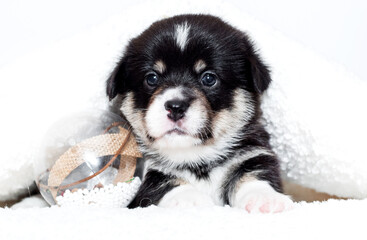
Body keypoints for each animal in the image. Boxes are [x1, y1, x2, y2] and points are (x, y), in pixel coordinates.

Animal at [106, 14, 294, 213]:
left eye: (209, 78)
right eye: (152, 78)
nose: (175, 107)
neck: (198, 160)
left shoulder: (253, 153)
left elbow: (254, 175)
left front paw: (265, 199)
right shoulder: (143, 172)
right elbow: (162, 182)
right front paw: (190, 200)